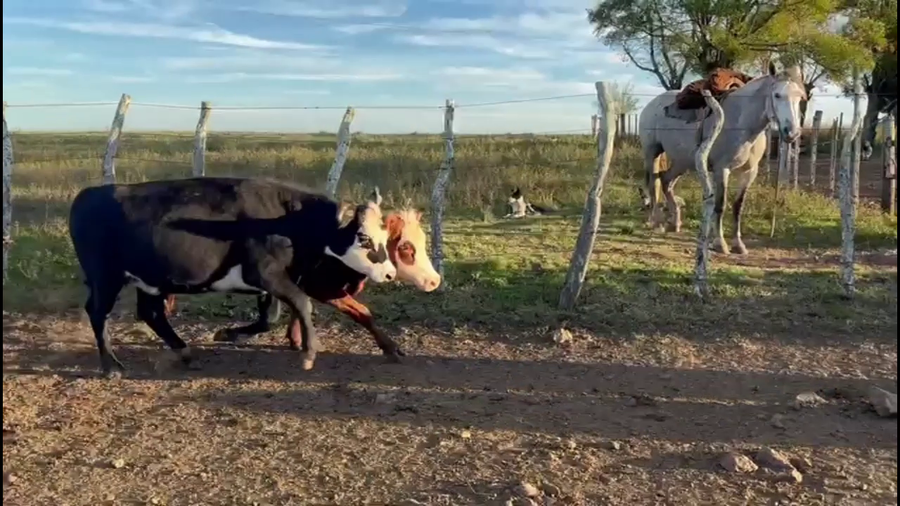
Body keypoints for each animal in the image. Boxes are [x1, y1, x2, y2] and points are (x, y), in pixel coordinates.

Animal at [68, 176, 397, 378]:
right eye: (364, 238)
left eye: (384, 235)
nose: (390, 273)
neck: (285, 219)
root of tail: (88, 194)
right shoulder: (266, 274)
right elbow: (303, 305)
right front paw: (308, 353)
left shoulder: (268, 284)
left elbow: (270, 318)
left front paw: (229, 333)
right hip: (105, 277)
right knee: (97, 312)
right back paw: (111, 365)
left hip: (149, 281)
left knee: (151, 313)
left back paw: (184, 351)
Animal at [165, 206, 443, 371]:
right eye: (406, 247)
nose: (434, 280)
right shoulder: (322, 288)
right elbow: (362, 313)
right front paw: (391, 348)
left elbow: (294, 311)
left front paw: (296, 340)